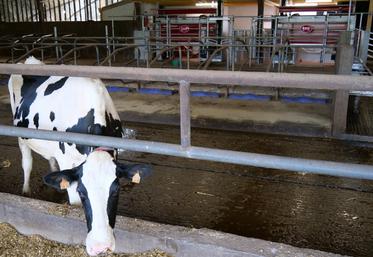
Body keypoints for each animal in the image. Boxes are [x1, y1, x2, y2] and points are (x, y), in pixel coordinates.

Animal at [8, 56, 151, 254]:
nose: (100, 246)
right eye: (82, 193)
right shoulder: (68, 162)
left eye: (116, 191)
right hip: (20, 134)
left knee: (51, 160)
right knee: (27, 162)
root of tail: (29, 61)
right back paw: (26, 190)